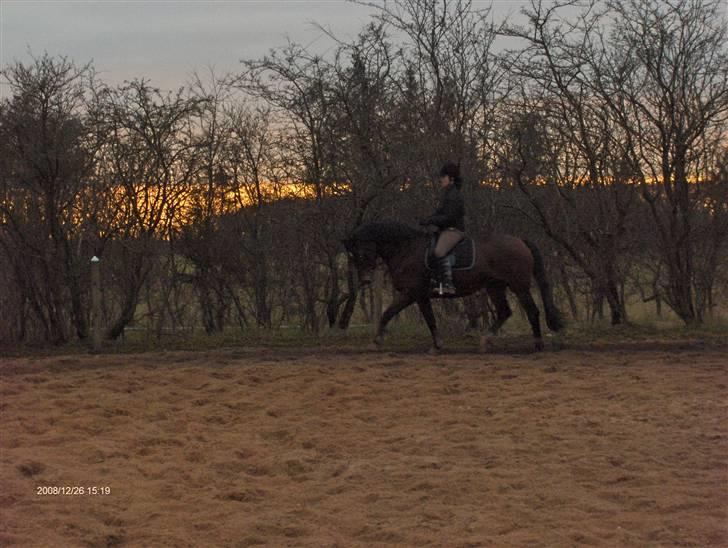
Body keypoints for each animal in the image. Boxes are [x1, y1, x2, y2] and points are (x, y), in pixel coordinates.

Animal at [342, 222, 564, 354]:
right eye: (353, 256)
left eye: (360, 253)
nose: (365, 280)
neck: (406, 249)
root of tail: (520, 241)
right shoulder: (419, 295)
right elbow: (425, 318)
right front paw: (437, 345)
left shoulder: (411, 293)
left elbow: (389, 313)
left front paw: (376, 340)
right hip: (495, 286)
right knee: (504, 312)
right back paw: (485, 341)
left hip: (519, 286)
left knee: (532, 311)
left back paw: (538, 344)